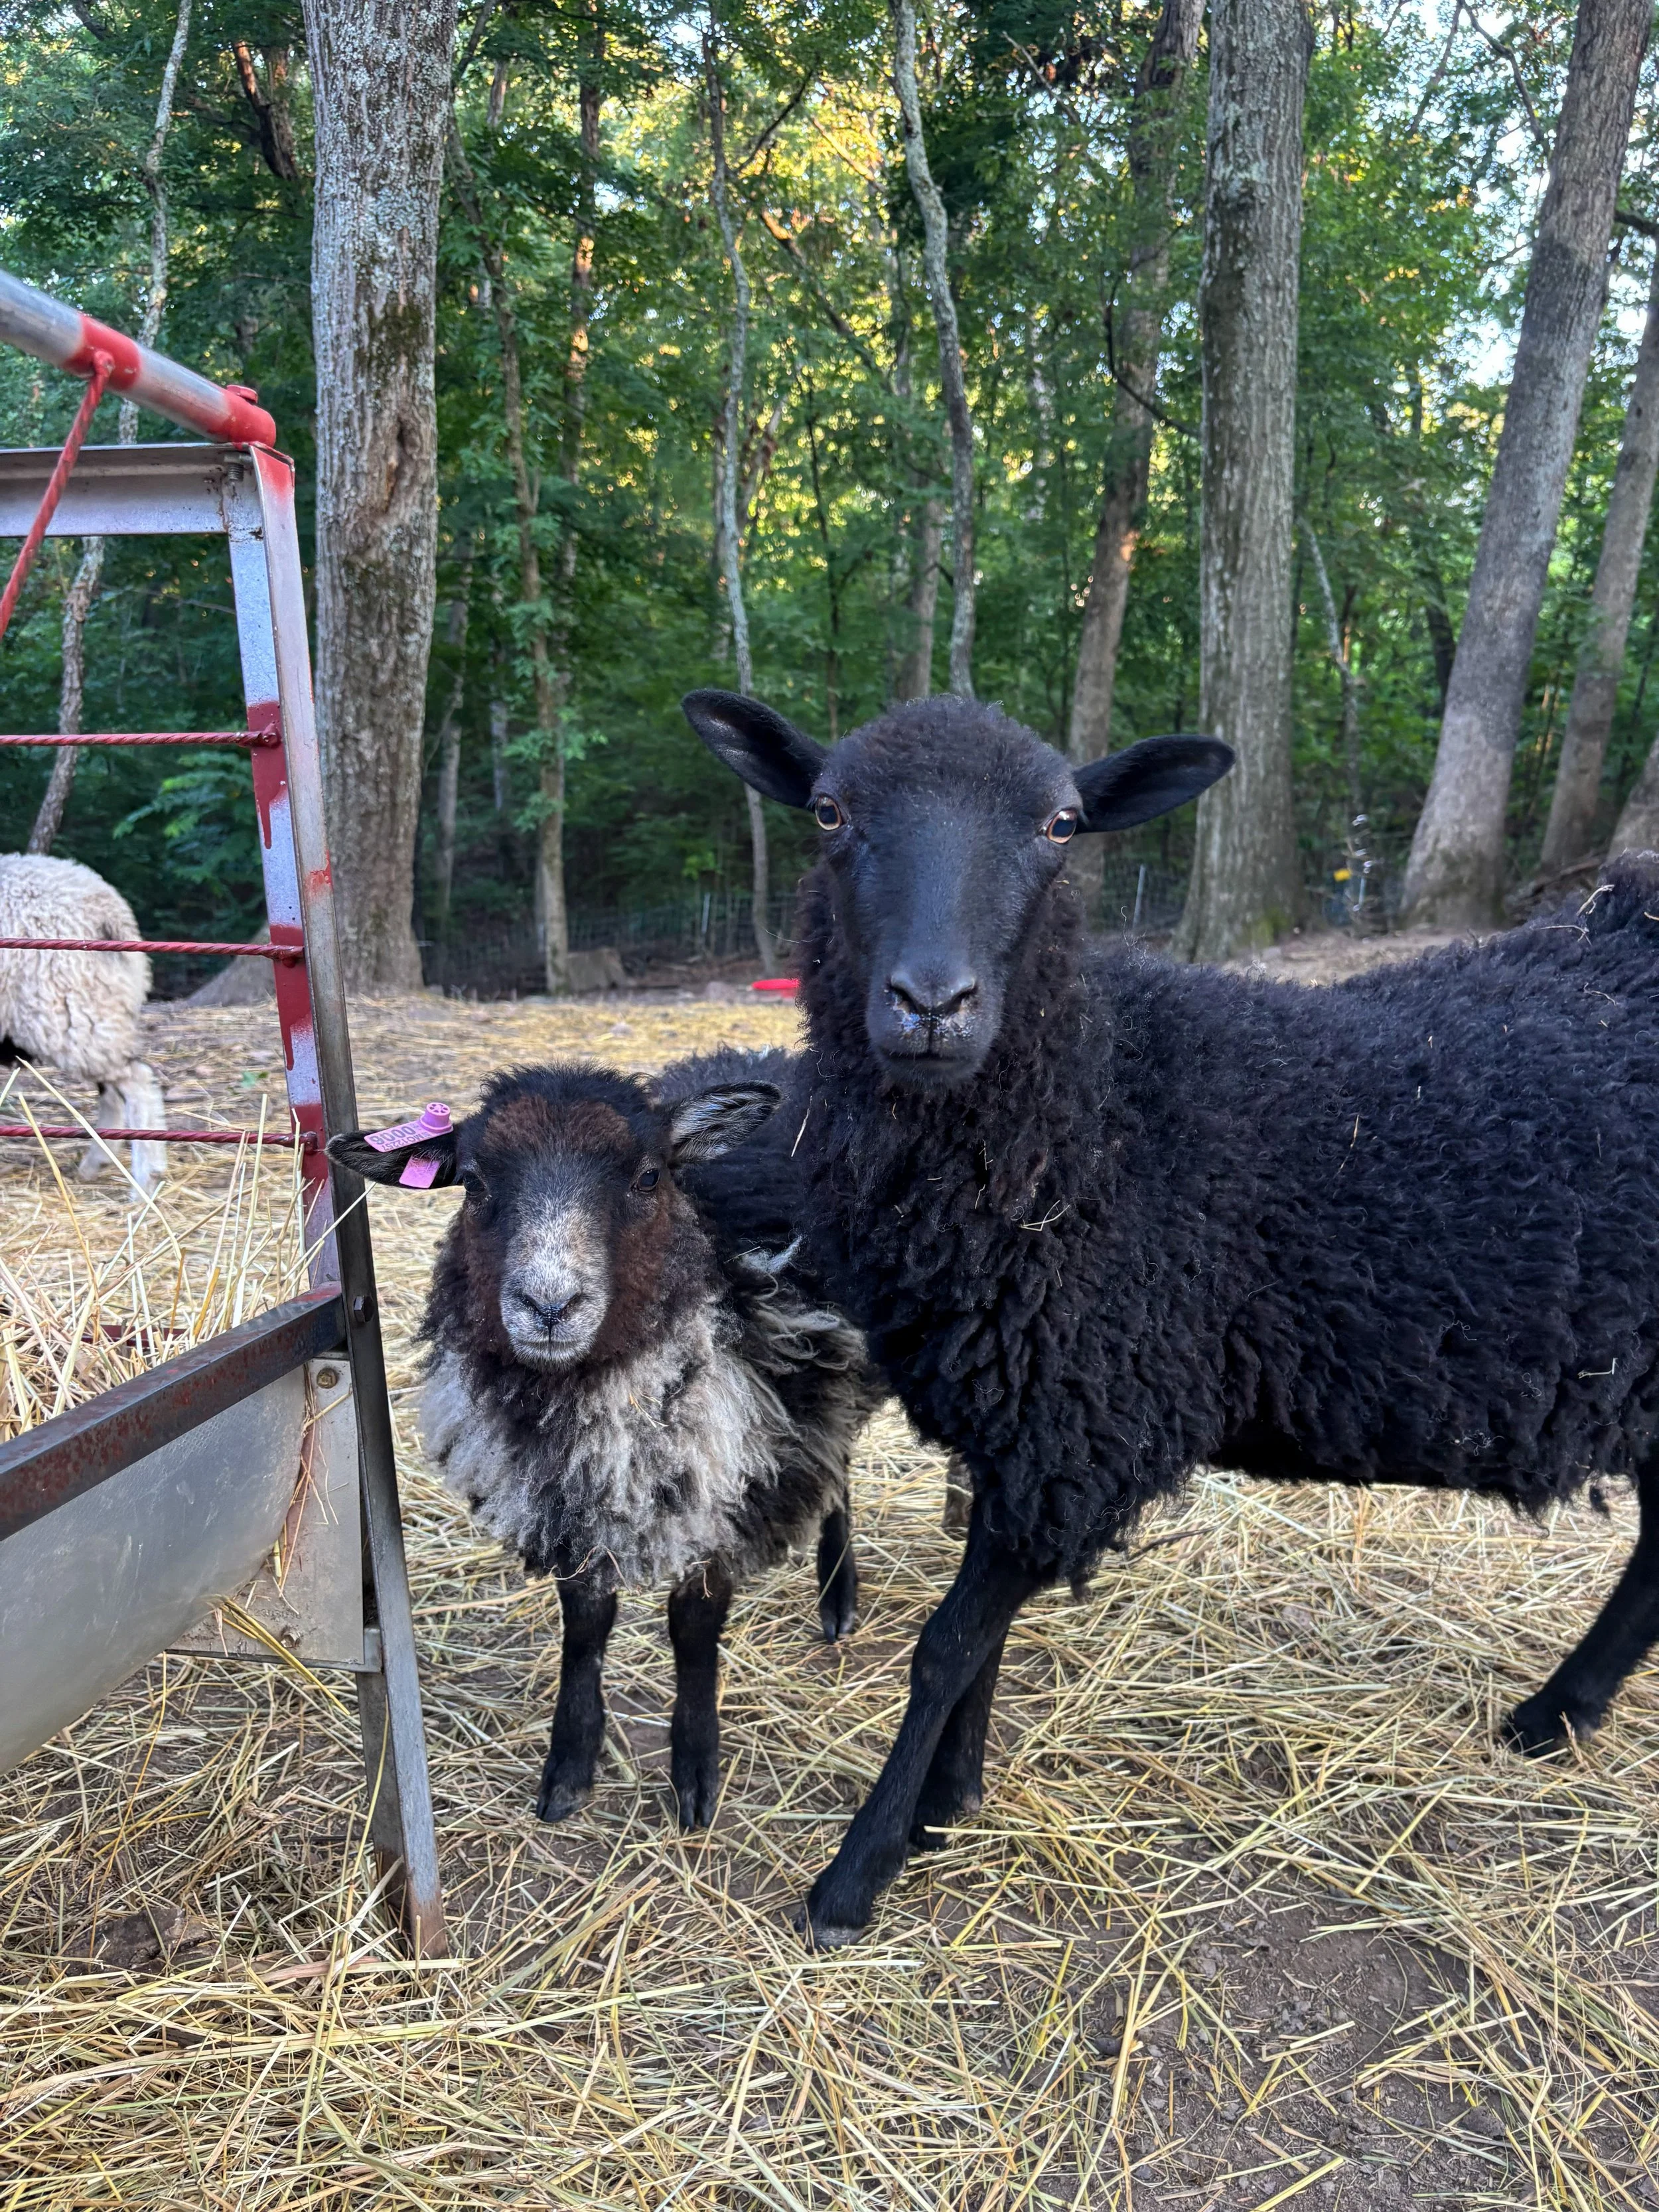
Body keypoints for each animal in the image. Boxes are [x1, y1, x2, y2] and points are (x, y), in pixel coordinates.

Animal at [0, 852, 166, 1194]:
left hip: (67, 1007)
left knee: (138, 1082)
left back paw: (145, 1182)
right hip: (94, 1008)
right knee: (114, 1088)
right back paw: (98, 1163)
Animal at [329, 1047, 881, 1831]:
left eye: (648, 1176)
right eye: (474, 1182)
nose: (548, 1305)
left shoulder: (724, 1472)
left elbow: (693, 1626)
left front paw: (695, 1775)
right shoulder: (568, 1496)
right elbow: (585, 1626)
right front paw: (568, 1769)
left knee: (839, 1467)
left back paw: (837, 1597)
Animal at [684, 685, 1659, 1947]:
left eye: (1060, 824)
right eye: (828, 811)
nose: (931, 1004)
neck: (1092, 1119)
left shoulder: (1083, 1418)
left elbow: (946, 1648)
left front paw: (859, 1875)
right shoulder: (1028, 1427)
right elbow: (980, 1642)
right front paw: (950, 1803)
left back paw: (1556, 1710)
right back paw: (1560, 1714)